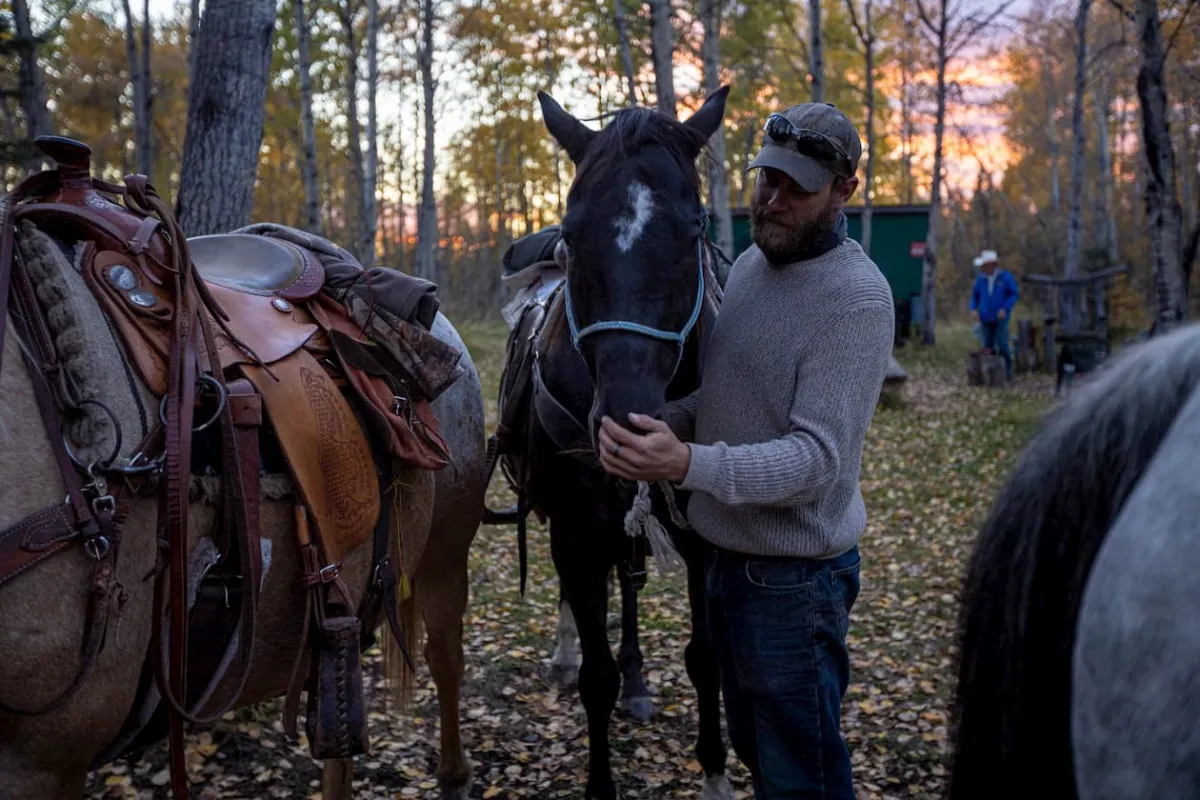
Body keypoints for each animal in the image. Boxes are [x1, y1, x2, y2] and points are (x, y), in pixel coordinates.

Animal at [494, 89, 729, 800]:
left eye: (693, 230)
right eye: (572, 234)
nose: (628, 418)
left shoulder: (704, 537)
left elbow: (706, 660)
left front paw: (715, 773)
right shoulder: (574, 529)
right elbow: (593, 676)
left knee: (628, 581)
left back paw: (638, 678)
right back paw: (569, 650)